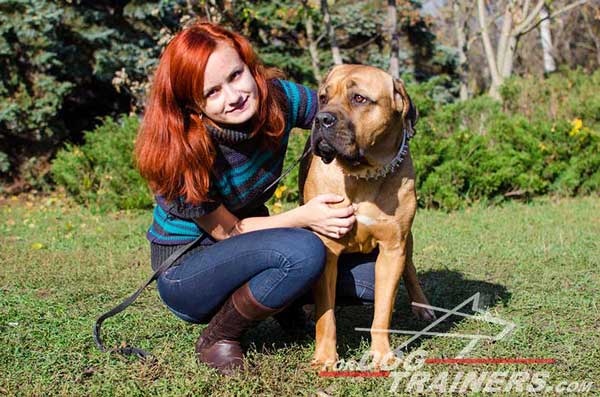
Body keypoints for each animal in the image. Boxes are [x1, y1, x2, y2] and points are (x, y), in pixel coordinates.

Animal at [300, 63, 436, 370]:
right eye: (323, 97)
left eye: (359, 98)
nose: (321, 119)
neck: (362, 175)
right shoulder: (327, 249)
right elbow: (326, 315)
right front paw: (325, 357)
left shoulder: (392, 248)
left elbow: (383, 309)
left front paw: (382, 354)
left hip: (406, 241)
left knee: (410, 269)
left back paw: (423, 307)